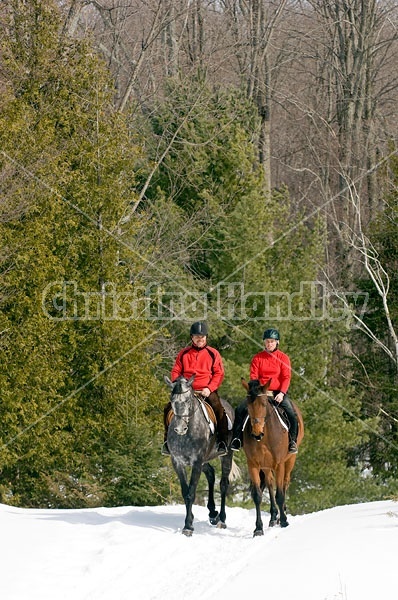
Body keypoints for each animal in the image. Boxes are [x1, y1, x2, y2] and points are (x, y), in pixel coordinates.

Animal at [163, 372, 238, 536]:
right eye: (172, 401)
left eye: (187, 400)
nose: (180, 428)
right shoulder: (178, 462)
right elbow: (185, 492)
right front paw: (190, 520)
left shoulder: (196, 462)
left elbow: (191, 492)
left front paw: (188, 526)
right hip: (205, 460)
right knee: (210, 473)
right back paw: (213, 514)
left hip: (226, 456)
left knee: (223, 484)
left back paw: (221, 519)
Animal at [241, 378, 304, 536]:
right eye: (248, 404)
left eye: (264, 404)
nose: (257, 433)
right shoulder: (253, 465)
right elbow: (257, 496)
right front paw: (258, 528)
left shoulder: (279, 464)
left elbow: (280, 494)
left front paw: (284, 521)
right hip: (266, 466)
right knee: (270, 483)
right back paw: (273, 517)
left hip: (289, 460)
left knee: (285, 483)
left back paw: (282, 515)